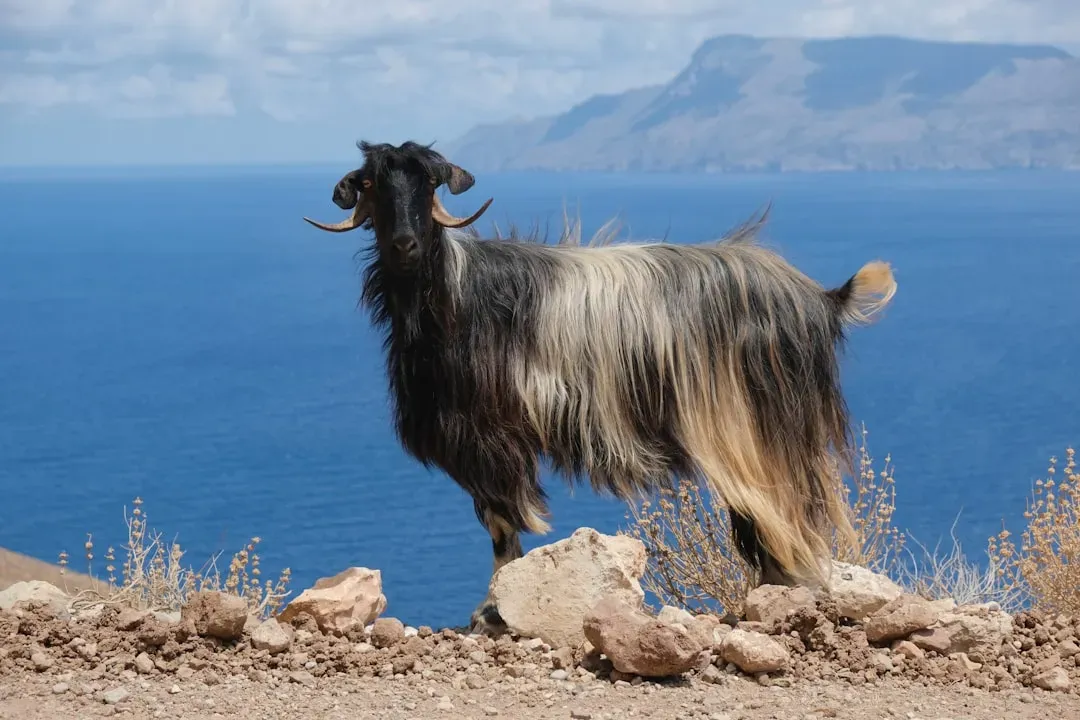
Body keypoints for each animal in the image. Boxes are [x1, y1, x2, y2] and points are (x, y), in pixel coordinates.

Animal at [303, 140, 897, 633]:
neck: (454, 298)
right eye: (372, 183)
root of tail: (821, 298)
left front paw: (490, 612)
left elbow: (503, 529)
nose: (404, 244)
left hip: (762, 433)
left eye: (428, 183)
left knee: (783, 516)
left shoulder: (493, 441)